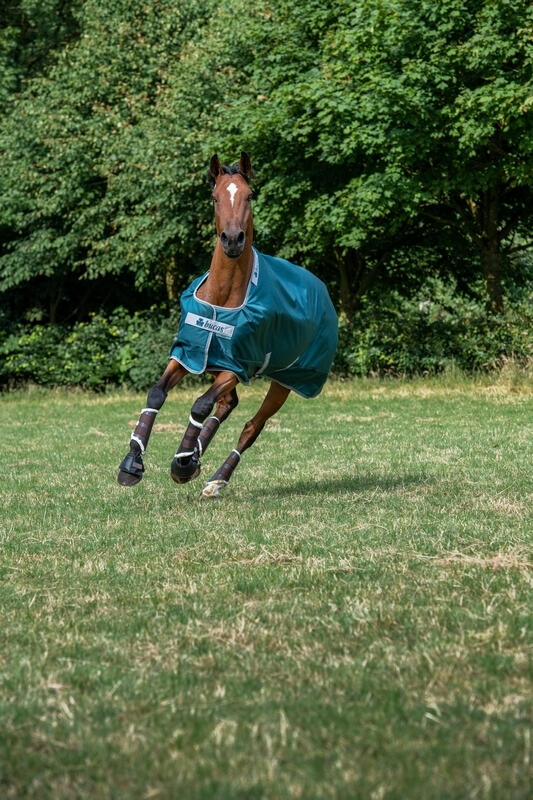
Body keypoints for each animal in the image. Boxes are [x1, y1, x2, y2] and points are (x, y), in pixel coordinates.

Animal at [117, 152, 338, 497]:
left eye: (249, 195)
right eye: (215, 197)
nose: (233, 240)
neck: (222, 298)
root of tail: (322, 288)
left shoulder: (238, 366)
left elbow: (200, 404)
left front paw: (182, 463)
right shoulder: (189, 353)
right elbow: (156, 394)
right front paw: (132, 464)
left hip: (287, 379)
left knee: (251, 426)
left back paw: (214, 478)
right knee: (228, 404)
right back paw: (197, 457)